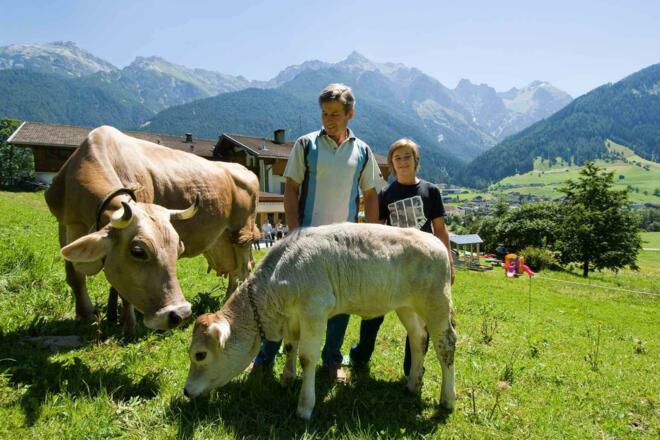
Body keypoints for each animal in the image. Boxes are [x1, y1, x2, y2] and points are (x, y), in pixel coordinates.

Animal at [45, 125, 260, 332]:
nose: (179, 314)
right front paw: (87, 315)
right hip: (222, 239)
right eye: (138, 251)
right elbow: (75, 276)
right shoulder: (65, 225)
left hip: (242, 231)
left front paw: (128, 325)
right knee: (234, 269)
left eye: (178, 249)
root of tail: (241, 167)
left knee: (244, 268)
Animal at [183, 222, 456, 420]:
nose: (186, 391)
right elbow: (290, 346)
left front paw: (304, 406)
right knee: (419, 339)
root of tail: (436, 241)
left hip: (437, 303)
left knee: (445, 347)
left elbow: (307, 357)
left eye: (200, 355)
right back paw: (412, 383)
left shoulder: (314, 310)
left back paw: (447, 399)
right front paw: (286, 378)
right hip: (406, 306)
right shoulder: (293, 316)